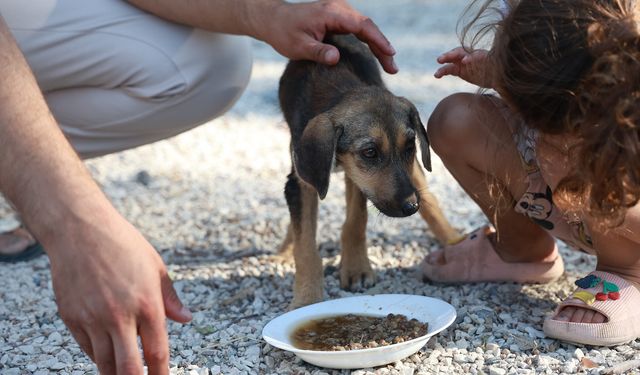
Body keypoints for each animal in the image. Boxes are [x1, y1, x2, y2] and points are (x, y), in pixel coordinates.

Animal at [280, 33, 460, 308]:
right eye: (370, 152)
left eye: (410, 146)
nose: (411, 207)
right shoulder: (303, 179)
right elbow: (306, 245)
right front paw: (307, 300)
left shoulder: (360, 179)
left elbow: (356, 221)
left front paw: (356, 268)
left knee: (429, 198)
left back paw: (452, 239)